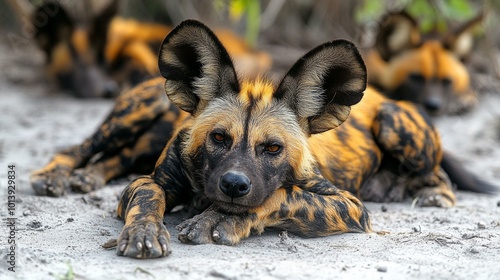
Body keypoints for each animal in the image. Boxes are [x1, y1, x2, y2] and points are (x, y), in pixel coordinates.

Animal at [30, 20, 458, 260]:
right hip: (138, 111)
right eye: (219, 138)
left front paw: (218, 219)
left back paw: (428, 193)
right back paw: (60, 176)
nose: (234, 185)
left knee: (437, 173)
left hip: (392, 121)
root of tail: (383, 96)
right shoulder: (147, 182)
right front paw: (144, 232)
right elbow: (148, 197)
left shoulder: (348, 205)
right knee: (86, 149)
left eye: (273, 148)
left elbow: (281, 195)